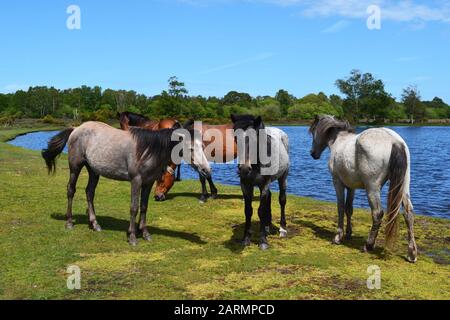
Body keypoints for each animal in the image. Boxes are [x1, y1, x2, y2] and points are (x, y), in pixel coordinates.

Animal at [42, 122, 211, 245]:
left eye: (202, 146)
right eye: (190, 148)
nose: (206, 170)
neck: (147, 149)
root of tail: (76, 128)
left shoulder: (148, 183)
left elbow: (144, 207)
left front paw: (145, 233)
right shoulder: (136, 181)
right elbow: (134, 207)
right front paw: (132, 236)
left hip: (93, 171)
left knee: (89, 192)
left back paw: (95, 224)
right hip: (75, 167)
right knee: (71, 190)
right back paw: (69, 222)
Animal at [230, 114, 290, 250]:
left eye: (254, 139)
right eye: (235, 138)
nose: (244, 168)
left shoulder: (264, 184)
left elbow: (261, 210)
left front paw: (263, 241)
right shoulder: (245, 185)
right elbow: (248, 210)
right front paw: (246, 238)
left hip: (283, 177)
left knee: (282, 199)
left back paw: (282, 229)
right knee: (269, 197)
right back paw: (267, 226)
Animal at [310, 115, 418, 262]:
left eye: (313, 131)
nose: (312, 153)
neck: (339, 141)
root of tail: (395, 142)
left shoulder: (337, 182)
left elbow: (340, 207)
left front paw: (338, 237)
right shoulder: (351, 187)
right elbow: (349, 208)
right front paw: (348, 233)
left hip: (372, 188)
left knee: (377, 213)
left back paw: (368, 245)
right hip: (403, 186)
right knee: (408, 213)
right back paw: (411, 253)